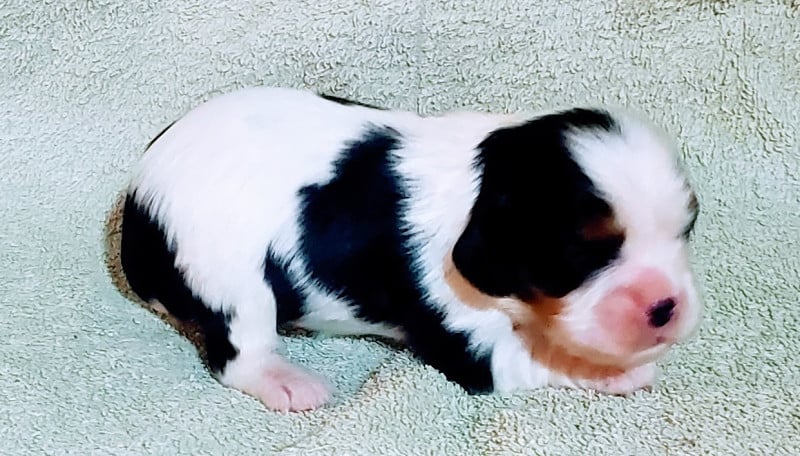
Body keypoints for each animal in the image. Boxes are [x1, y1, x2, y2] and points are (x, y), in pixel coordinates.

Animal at [119, 87, 701, 412]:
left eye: (686, 231)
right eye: (582, 256)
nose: (666, 308)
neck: (482, 184)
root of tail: (135, 211)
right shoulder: (462, 331)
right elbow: (545, 356)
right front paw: (617, 370)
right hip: (230, 278)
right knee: (239, 354)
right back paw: (289, 382)